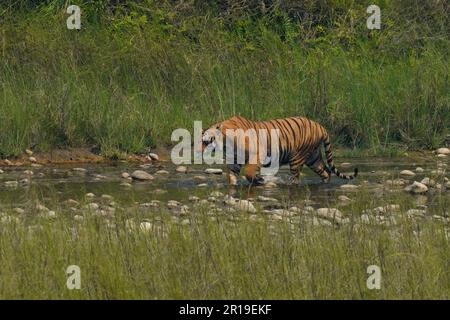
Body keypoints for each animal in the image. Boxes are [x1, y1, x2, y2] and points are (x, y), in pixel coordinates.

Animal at [200, 115, 358, 185]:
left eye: (206, 142)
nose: (198, 152)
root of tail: (320, 126)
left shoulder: (258, 154)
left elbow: (250, 172)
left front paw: (259, 179)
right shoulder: (234, 161)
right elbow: (232, 176)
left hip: (297, 158)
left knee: (296, 178)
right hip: (313, 158)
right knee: (325, 172)